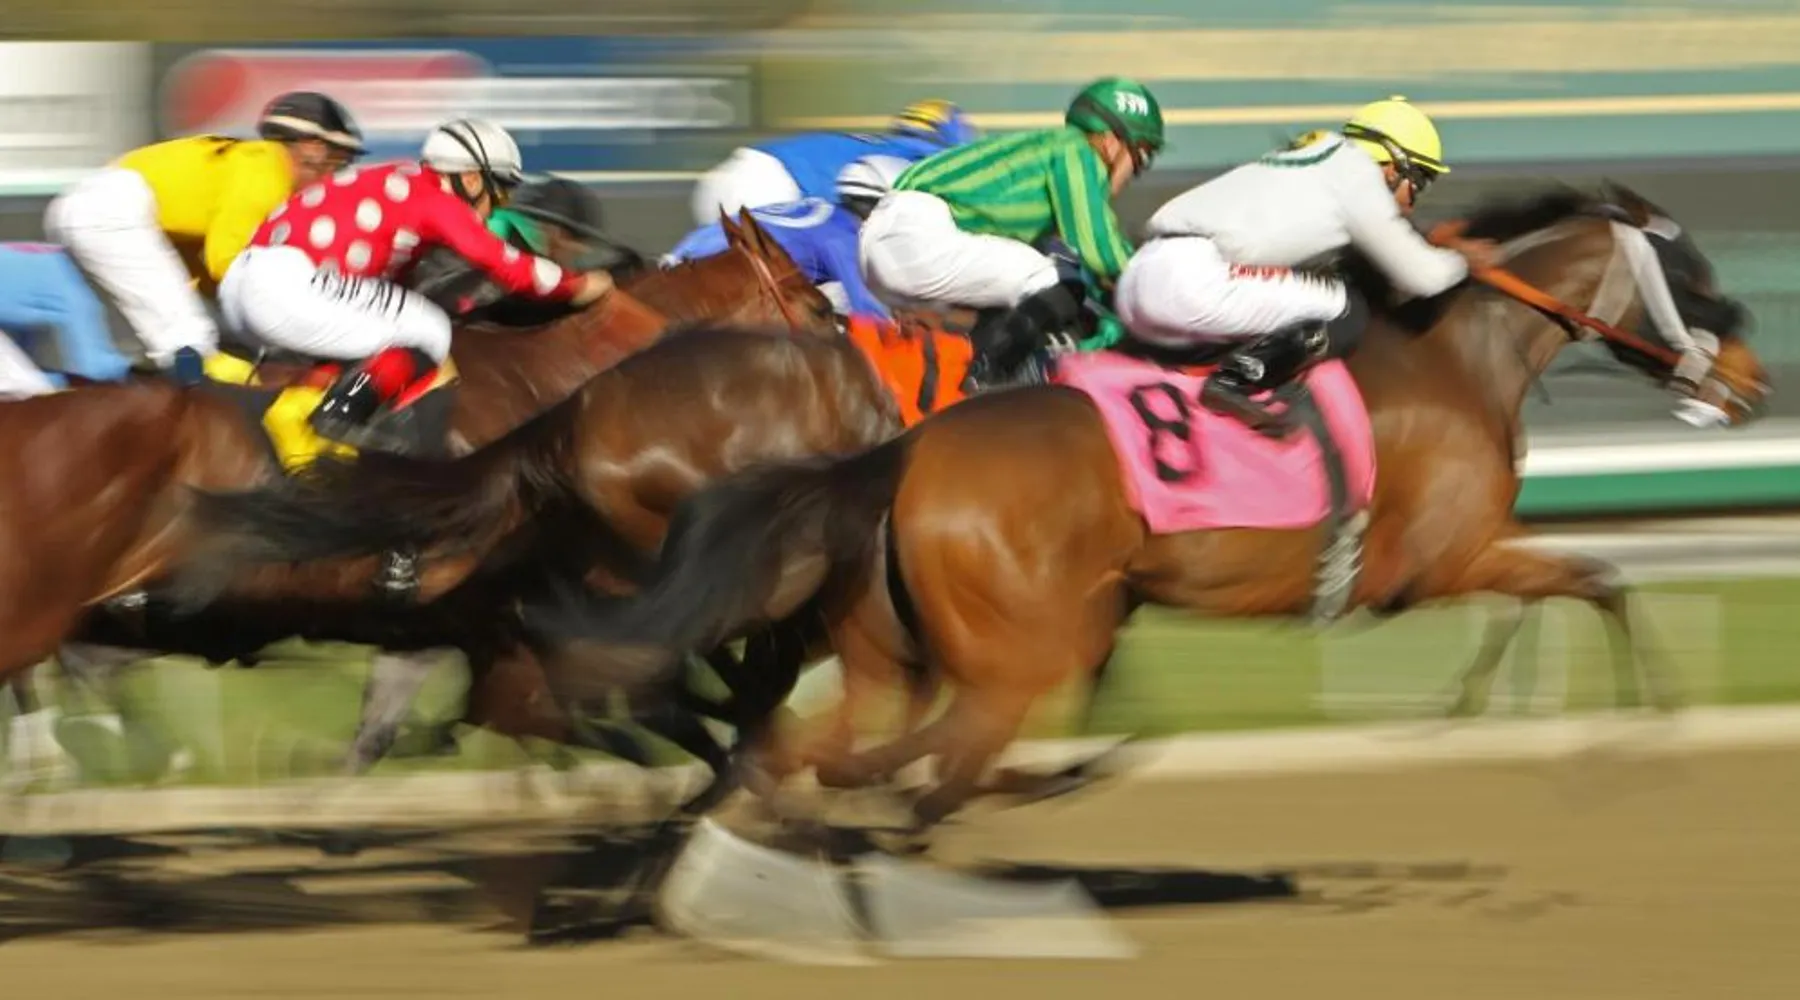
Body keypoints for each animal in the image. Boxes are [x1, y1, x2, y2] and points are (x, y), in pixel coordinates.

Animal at [513, 182, 1773, 835]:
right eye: (1698, 278)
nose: (1752, 384)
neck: (1450, 351)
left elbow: (1567, 588)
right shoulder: (1440, 556)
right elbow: (1597, 578)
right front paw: (1637, 727)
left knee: (799, 727)